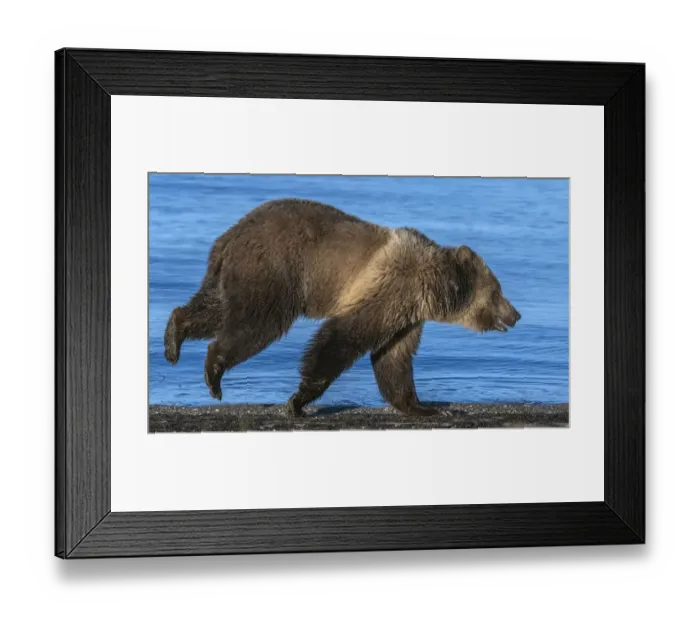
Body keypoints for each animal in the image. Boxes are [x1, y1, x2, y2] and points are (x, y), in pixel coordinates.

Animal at [163, 198, 521, 417]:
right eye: (498, 291)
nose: (516, 314)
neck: (431, 287)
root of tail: (229, 235)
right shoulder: (392, 284)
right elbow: (342, 338)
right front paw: (298, 401)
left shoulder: (407, 313)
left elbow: (394, 359)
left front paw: (425, 406)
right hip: (274, 269)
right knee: (256, 323)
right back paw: (214, 372)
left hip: (234, 274)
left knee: (215, 309)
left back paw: (174, 337)